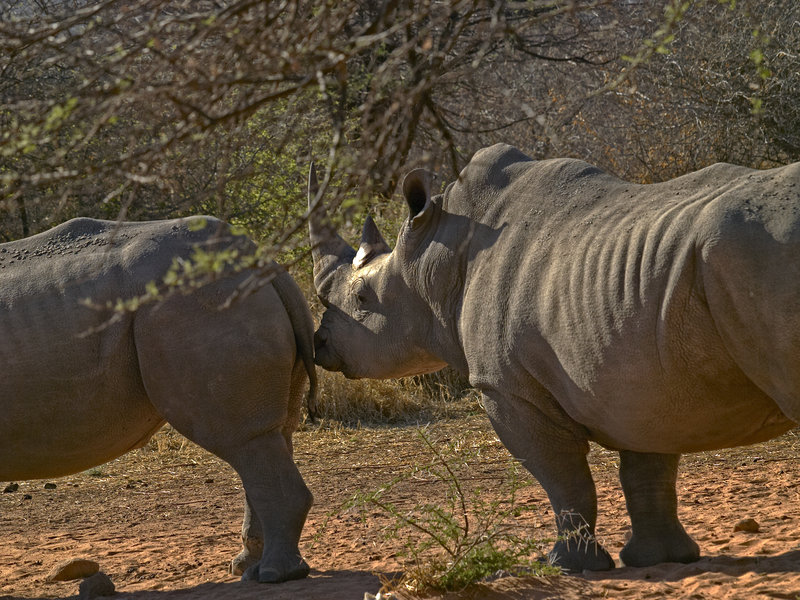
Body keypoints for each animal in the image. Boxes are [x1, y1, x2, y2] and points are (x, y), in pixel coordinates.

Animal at [0, 216, 316, 583]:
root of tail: (267, 265)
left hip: (198, 306)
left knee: (245, 440)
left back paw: (273, 574)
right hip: (219, 301)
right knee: (269, 438)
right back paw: (247, 568)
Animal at [308, 144, 800, 571]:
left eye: (362, 299)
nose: (319, 342)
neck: (431, 263)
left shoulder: (505, 387)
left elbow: (562, 475)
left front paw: (566, 566)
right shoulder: (638, 377)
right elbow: (648, 467)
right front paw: (662, 560)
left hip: (755, 255)